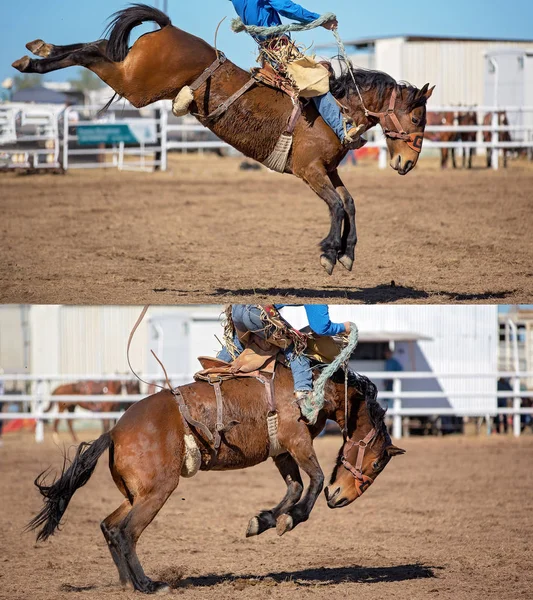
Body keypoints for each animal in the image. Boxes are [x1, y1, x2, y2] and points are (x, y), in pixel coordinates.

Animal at [12, 2, 432, 274]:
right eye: (416, 116)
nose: (407, 163)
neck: (338, 110)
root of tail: (169, 28)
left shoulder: (329, 169)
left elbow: (349, 203)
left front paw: (347, 253)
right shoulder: (309, 170)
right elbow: (335, 206)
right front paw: (330, 253)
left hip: (132, 75)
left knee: (99, 48)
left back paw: (35, 52)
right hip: (135, 85)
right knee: (94, 54)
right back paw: (34, 59)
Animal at [29, 366, 404, 596]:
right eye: (374, 463)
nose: (339, 498)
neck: (315, 389)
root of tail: (115, 431)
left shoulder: (281, 450)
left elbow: (295, 486)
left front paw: (262, 520)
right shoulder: (296, 440)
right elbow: (314, 480)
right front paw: (289, 519)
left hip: (135, 494)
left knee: (109, 526)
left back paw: (126, 583)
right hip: (157, 492)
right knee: (126, 532)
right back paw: (149, 585)